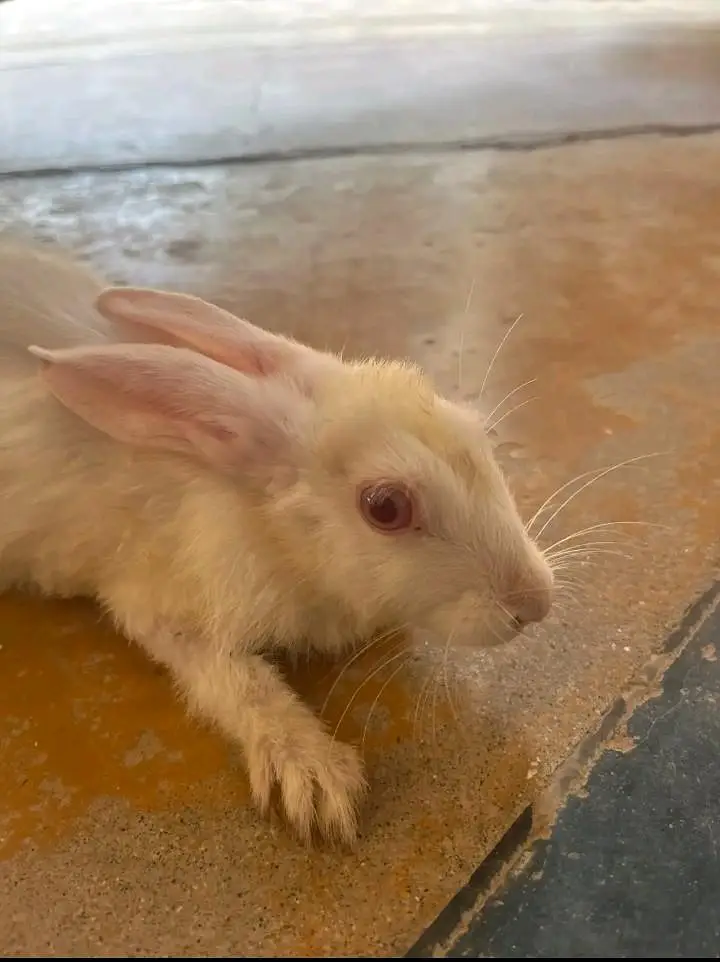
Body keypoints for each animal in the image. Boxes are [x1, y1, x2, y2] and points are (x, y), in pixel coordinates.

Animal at [0, 240, 553, 844]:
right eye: (385, 507)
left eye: (478, 433)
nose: (536, 603)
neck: (270, 526)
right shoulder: (163, 609)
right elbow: (239, 681)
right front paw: (316, 781)